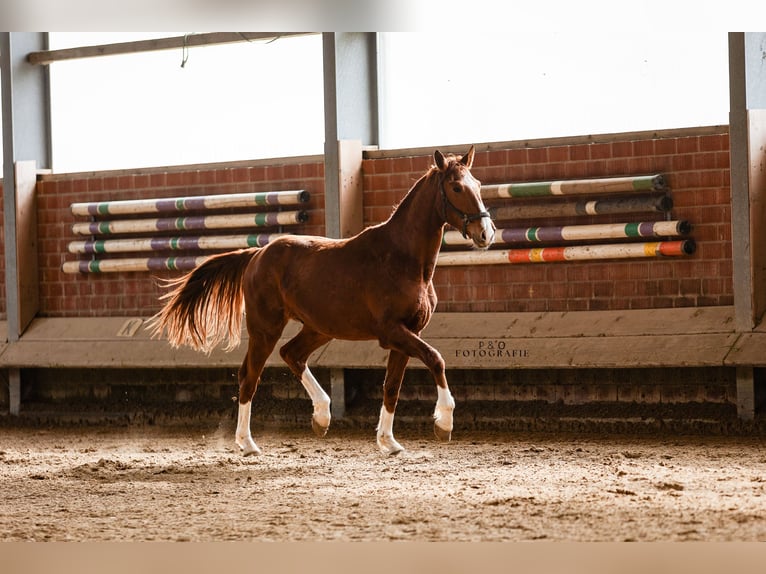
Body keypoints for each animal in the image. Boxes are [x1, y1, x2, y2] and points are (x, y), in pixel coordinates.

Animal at [148, 146, 495, 456]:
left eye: (478, 184)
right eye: (456, 187)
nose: (486, 233)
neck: (403, 259)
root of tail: (257, 254)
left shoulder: (408, 334)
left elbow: (391, 387)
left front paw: (389, 442)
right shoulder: (393, 332)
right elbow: (436, 359)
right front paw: (444, 424)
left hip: (318, 328)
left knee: (291, 355)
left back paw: (322, 416)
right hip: (265, 329)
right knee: (249, 375)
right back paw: (247, 444)